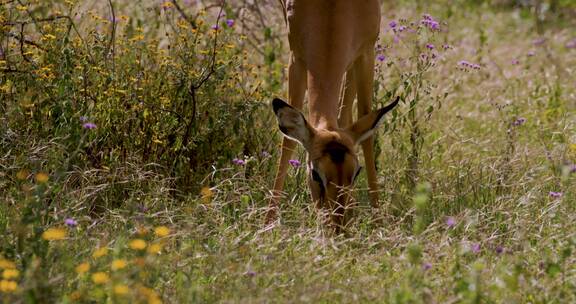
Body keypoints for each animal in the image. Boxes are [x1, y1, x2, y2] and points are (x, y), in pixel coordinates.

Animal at [268, 0, 398, 230]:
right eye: (315, 174)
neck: (331, 11)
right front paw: (268, 222)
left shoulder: (365, 53)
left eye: (356, 172)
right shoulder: (296, 57)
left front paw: (378, 221)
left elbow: (364, 122)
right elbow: (288, 140)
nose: (337, 226)